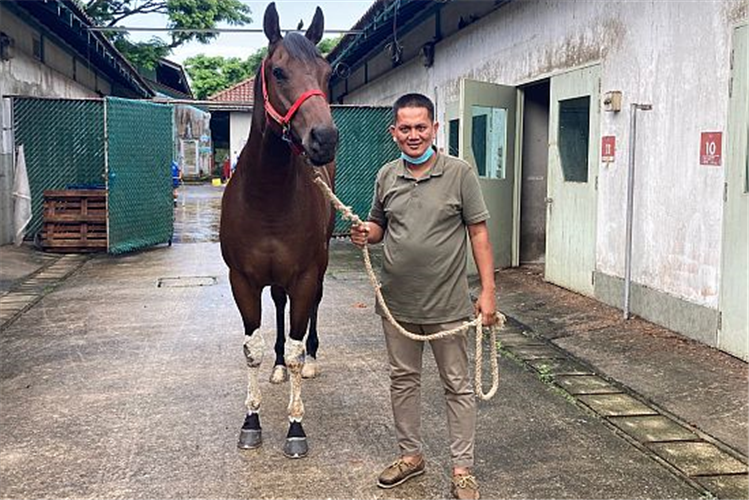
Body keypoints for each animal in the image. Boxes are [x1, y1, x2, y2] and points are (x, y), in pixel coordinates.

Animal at [219, 1, 336, 458]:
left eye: (327, 72)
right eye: (279, 71)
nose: (325, 138)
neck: (267, 197)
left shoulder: (304, 274)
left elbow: (301, 343)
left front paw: (296, 428)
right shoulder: (242, 280)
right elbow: (251, 349)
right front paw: (250, 422)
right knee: (280, 306)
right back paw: (279, 367)